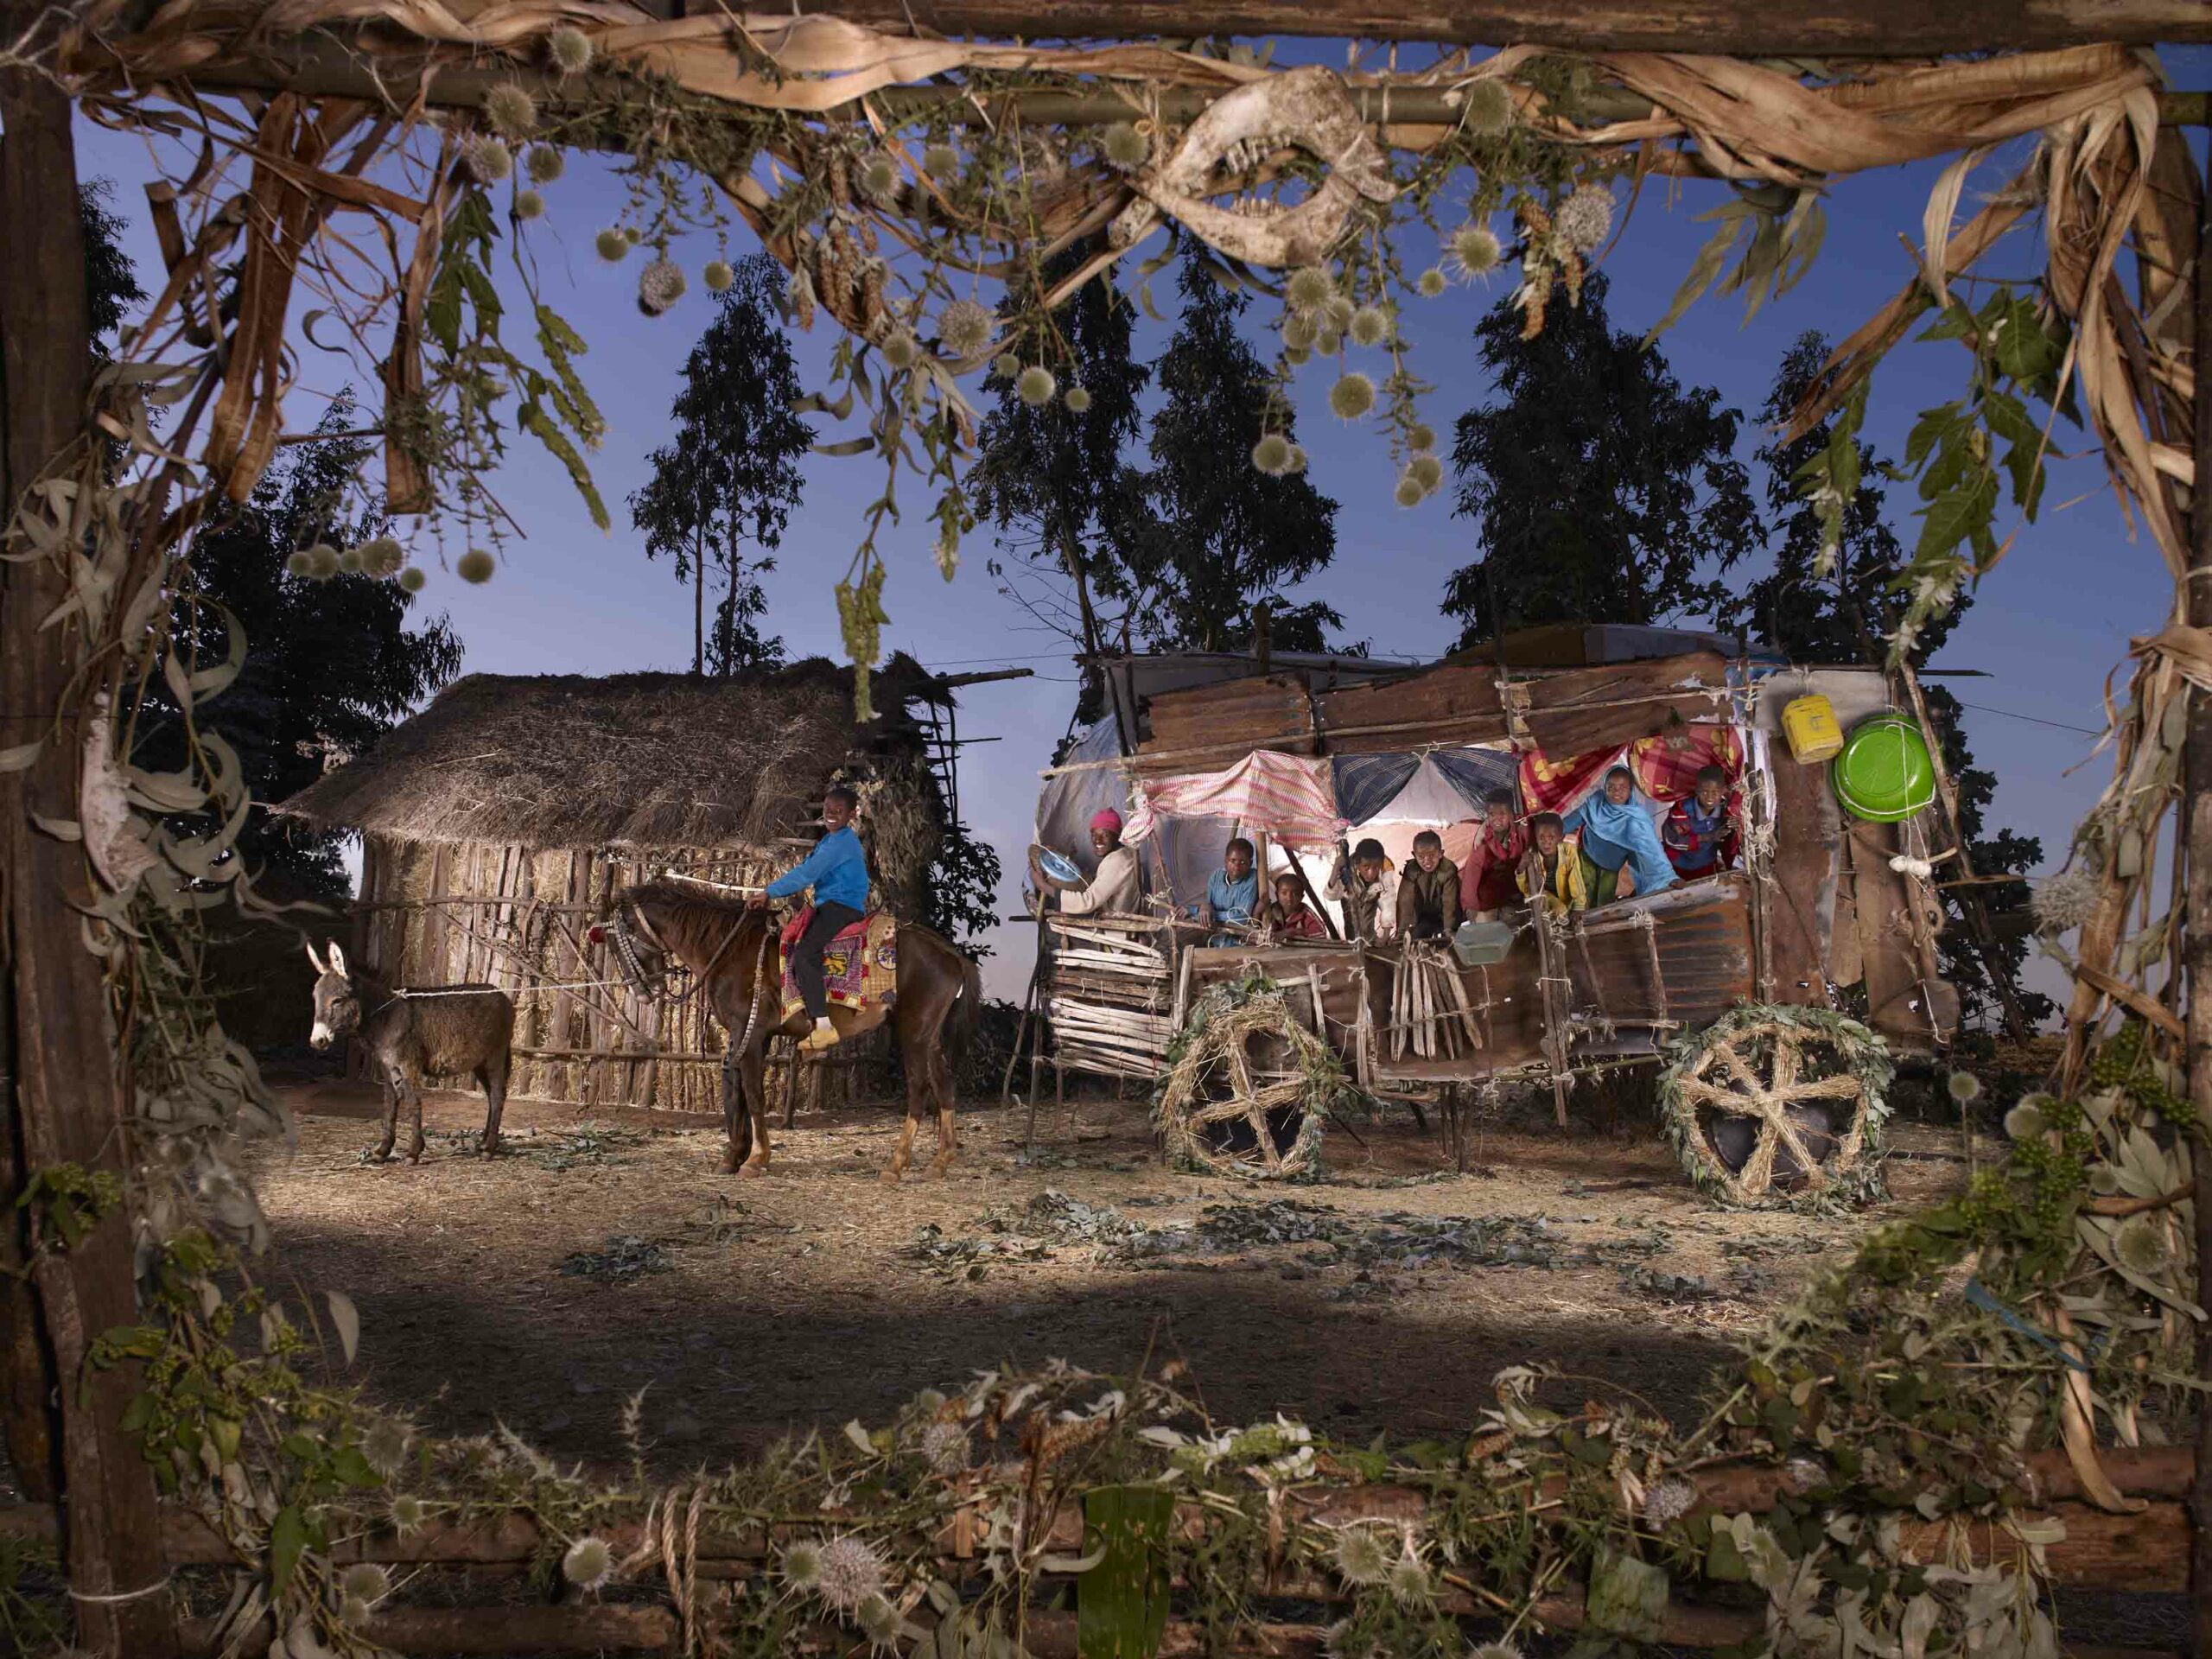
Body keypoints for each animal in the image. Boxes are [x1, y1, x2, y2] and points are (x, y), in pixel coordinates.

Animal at [610, 885, 982, 1185]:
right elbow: (740, 1092)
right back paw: (940, 1161)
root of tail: (949, 953)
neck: (730, 949)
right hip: (931, 1037)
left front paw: (755, 1160)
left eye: (616, 944)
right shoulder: (751, 1037)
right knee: (945, 1084)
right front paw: (735, 1156)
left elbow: (753, 1094)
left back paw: (896, 1164)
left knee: (919, 1088)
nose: (640, 992)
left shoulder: (750, 1032)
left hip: (913, 1032)